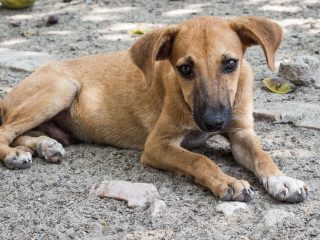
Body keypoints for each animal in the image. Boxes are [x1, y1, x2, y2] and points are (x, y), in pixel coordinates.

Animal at [0, 15, 310, 202]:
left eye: (230, 63)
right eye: (185, 69)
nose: (214, 122)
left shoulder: (241, 132)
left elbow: (262, 155)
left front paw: (283, 180)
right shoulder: (157, 145)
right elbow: (198, 160)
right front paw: (228, 182)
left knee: (22, 132)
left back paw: (46, 145)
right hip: (61, 89)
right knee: (6, 131)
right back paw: (15, 155)